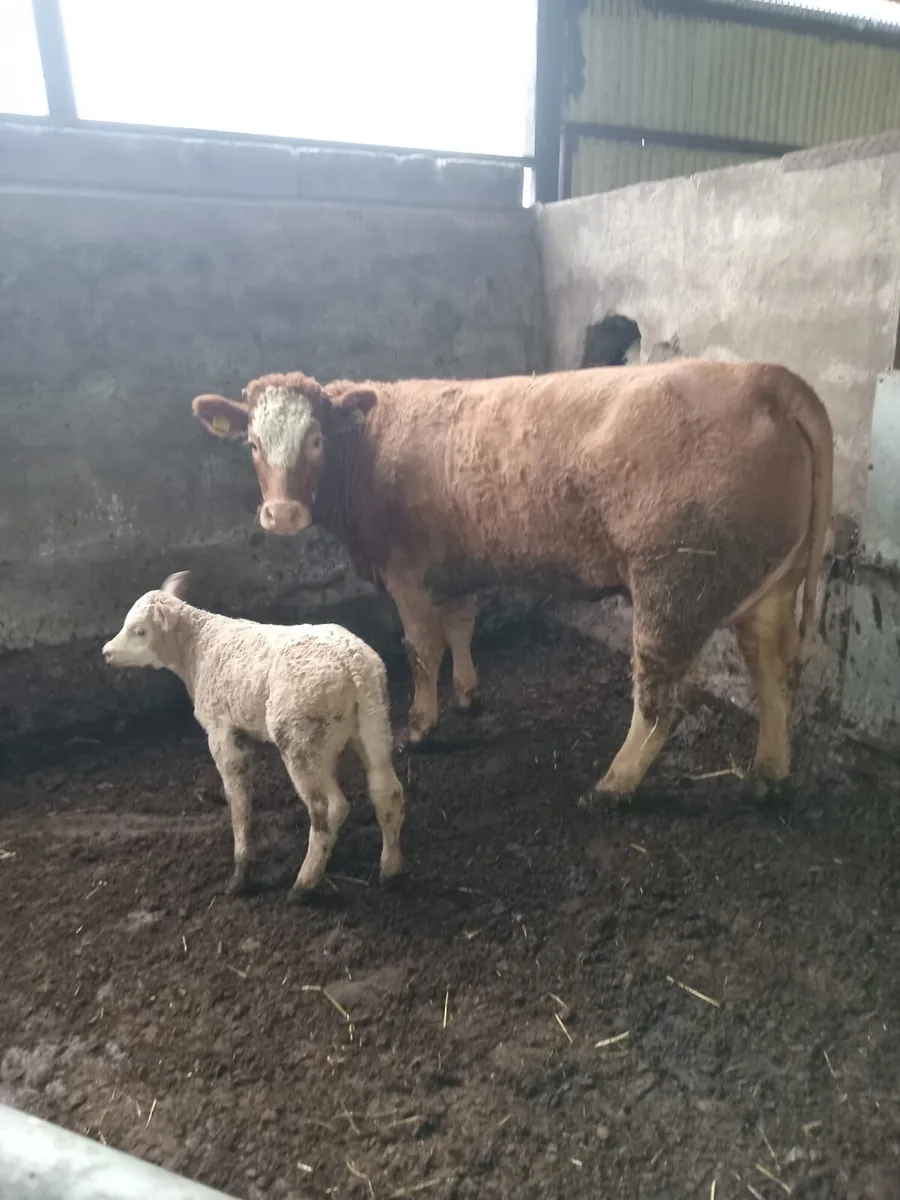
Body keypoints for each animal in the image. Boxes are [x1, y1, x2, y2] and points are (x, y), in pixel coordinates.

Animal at [192, 360, 833, 798]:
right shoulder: (456, 565)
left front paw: (421, 725)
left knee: (659, 697)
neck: (369, 446)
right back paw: (769, 774)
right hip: (768, 587)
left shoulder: (406, 571)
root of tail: (764, 376)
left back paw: (616, 783)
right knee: (772, 674)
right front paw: (468, 693)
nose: (282, 514)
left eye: (317, 438)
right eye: (253, 443)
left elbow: (421, 647)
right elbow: (460, 627)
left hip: (674, 584)